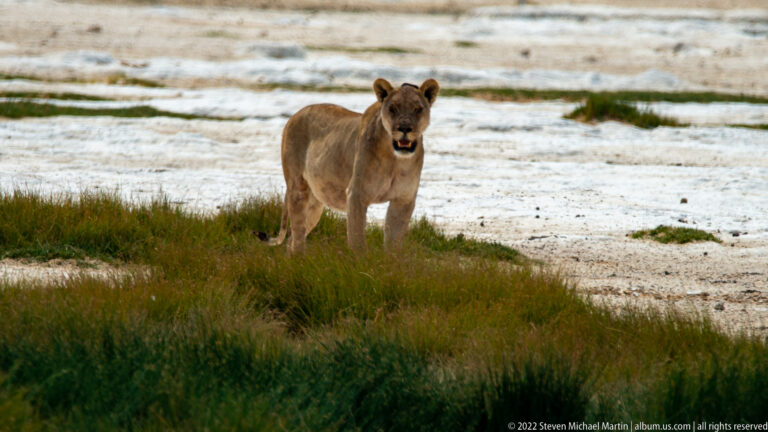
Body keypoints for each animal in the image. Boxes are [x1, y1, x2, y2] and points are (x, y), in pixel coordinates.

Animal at [264, 77, 440, 253]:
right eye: (393, 108)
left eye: (417, 109)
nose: (404, 128)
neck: (395, 160)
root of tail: (295, 115)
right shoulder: (356, 195)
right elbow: (358, 240)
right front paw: (362, 261)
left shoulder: (403, 200)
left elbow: (393, 243)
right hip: (297, 189)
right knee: (298, 235)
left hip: (315, 205)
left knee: (292, 240)